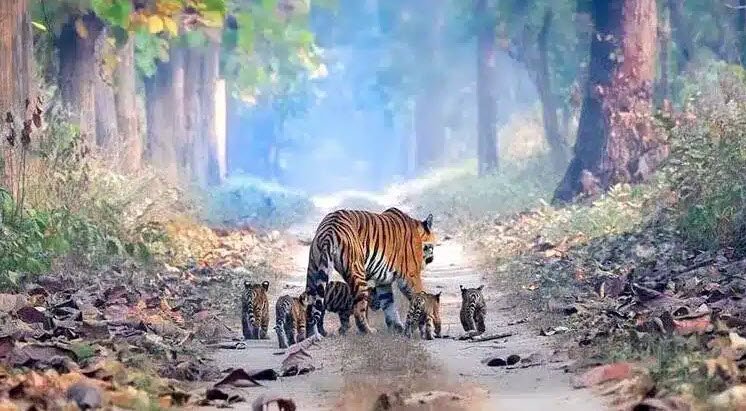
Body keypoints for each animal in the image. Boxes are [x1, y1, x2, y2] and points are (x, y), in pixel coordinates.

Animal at [305, 207, 435, 338]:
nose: (432, 259)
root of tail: (330, 228)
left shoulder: (383, 281)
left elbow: (388, 303)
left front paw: (397, 327)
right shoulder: (411, 276)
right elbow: (419, 298)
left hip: (313, 270)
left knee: (310, 306)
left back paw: (311, 335)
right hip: (357, 273)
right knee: (358, 310)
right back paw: (368, 331)